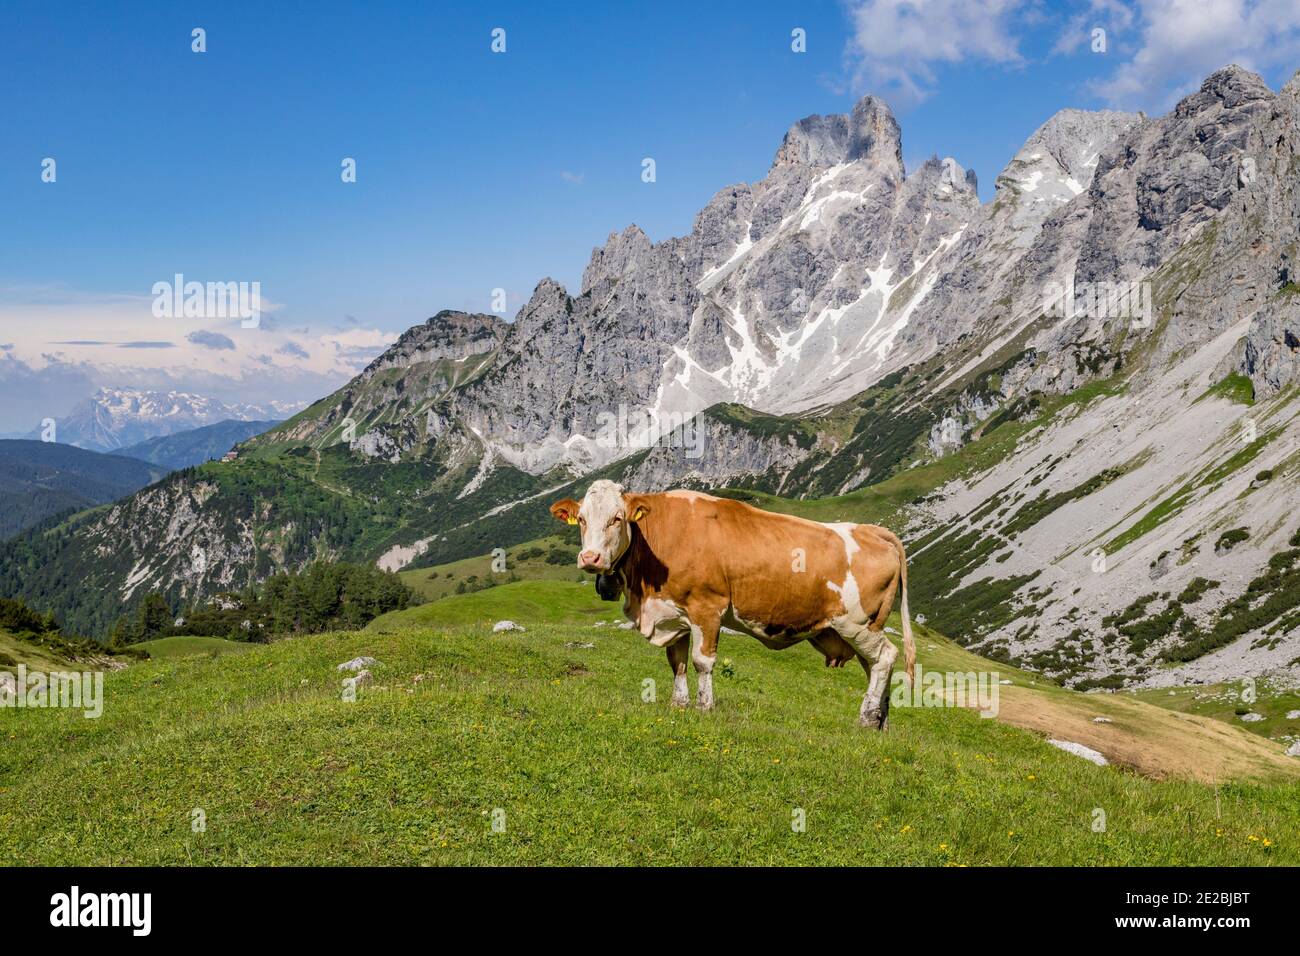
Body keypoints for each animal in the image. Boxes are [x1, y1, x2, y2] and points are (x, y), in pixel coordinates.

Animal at [549, 480, 915, 729]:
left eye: (617, 518)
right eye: (582, 519)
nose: (590, 558)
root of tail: (872, 531)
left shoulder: (707, 608)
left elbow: (701, 662)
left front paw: (704, 707)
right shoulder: (675, 614)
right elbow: (676, 662)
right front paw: (678, 705)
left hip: (857, 623)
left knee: (886, 657)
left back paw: (866, 718)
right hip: (864, 627)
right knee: (875, 666)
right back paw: (880, 720)